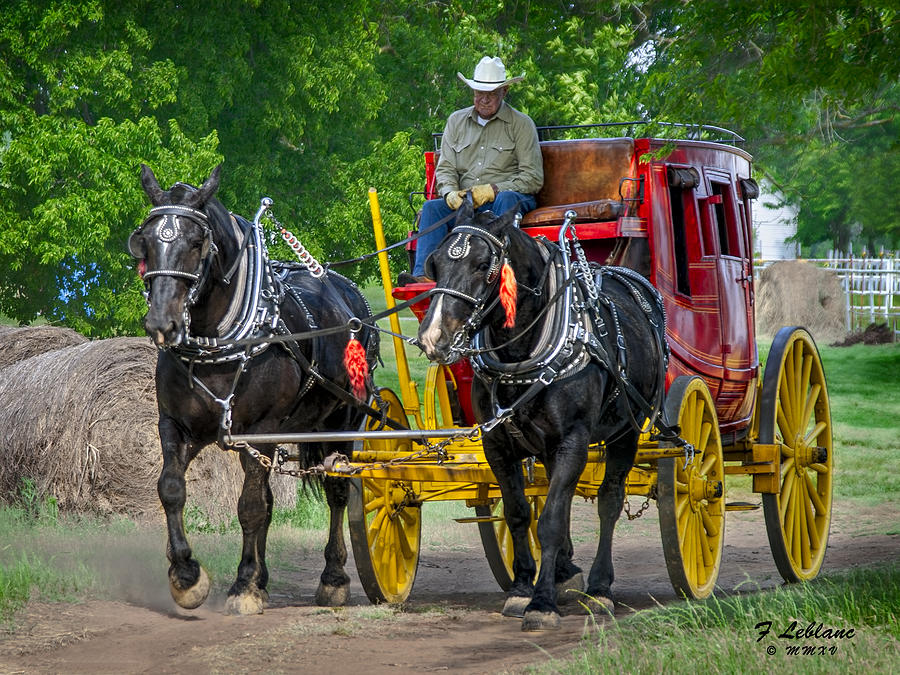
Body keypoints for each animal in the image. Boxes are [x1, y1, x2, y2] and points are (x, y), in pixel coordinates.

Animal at [129, 166, 376, 616]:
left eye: (197, 243)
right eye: (147, 241)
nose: (161, 323)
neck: (218, 341)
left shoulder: (258, 430)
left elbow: (249, 507)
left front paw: (243, 585)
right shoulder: (174, 425)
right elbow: (171, 490)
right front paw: (186, 575)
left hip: (344, 420)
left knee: (335, 491)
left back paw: (332, 578)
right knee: (272, 500)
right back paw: (263, 578)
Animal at [416, 203, 668, 632]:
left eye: (484, 265)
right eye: (434, 263)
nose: (433, 337)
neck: (522, 353)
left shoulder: (573, 441)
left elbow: (550, 518)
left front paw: (542, 602)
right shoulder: (497, 444)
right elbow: (520, 512)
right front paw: (522, 588)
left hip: (626, 431)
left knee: (609, 501)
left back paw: (599, 587)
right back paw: (566, 572)